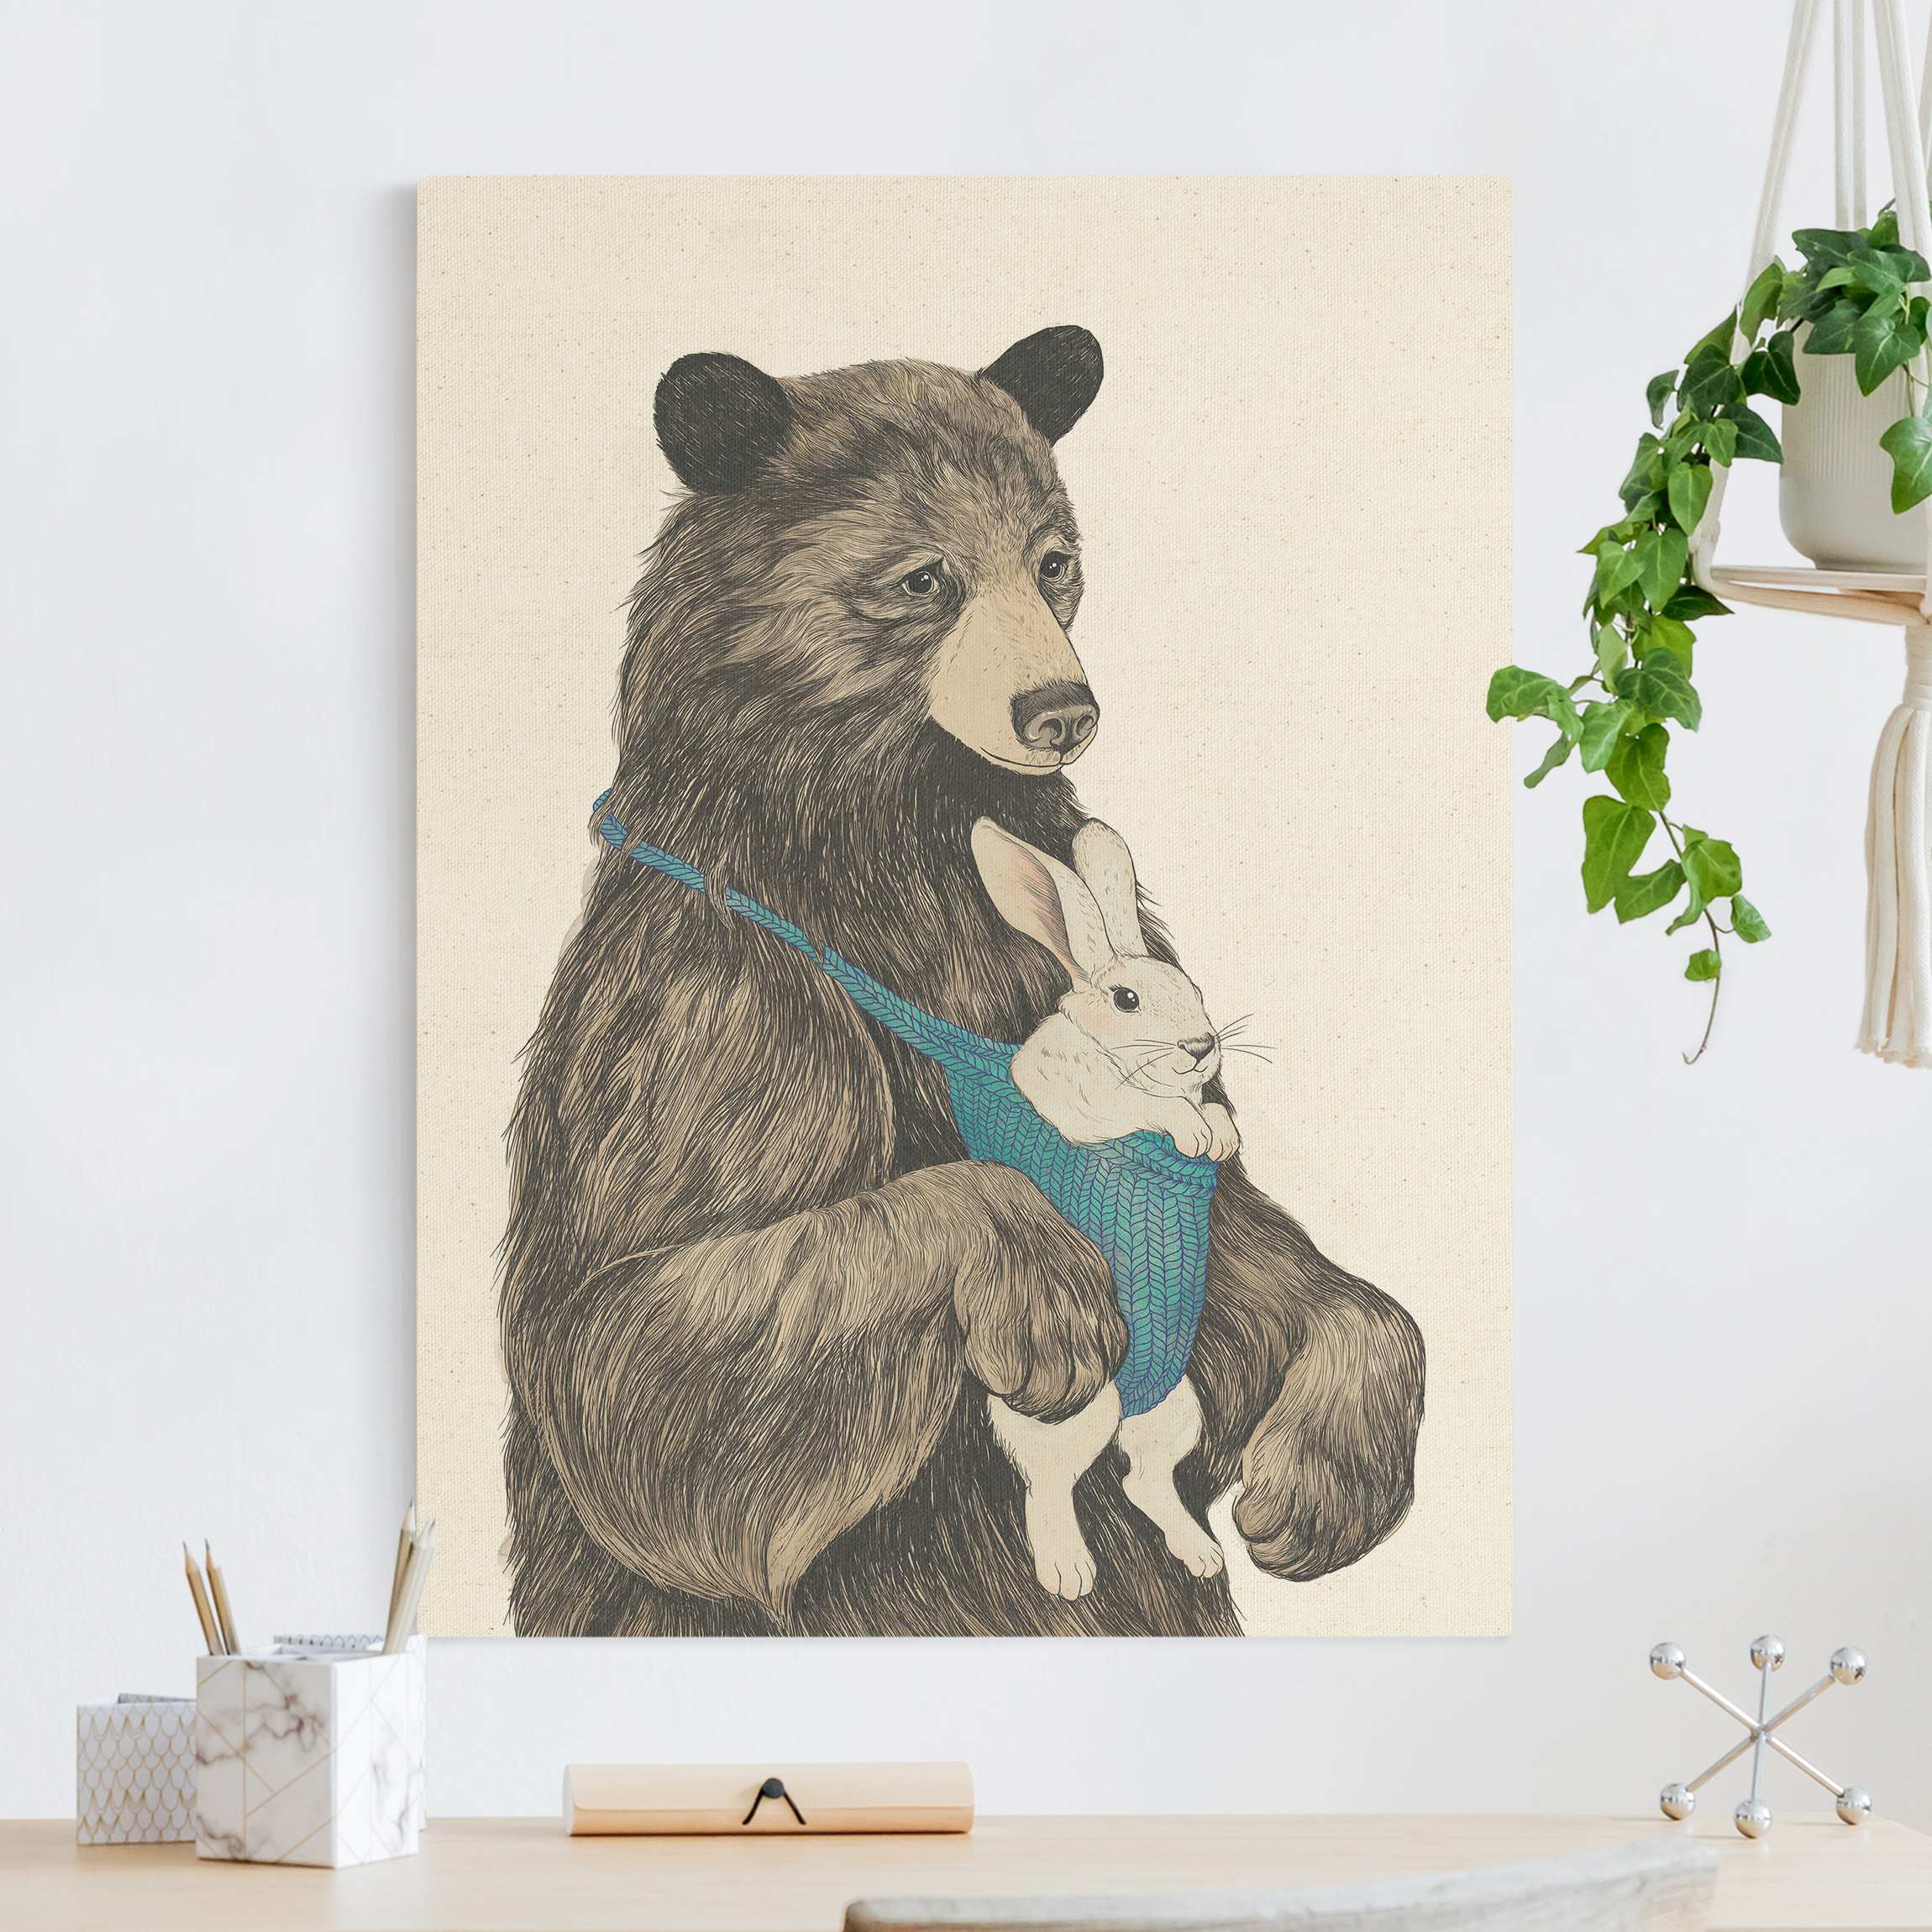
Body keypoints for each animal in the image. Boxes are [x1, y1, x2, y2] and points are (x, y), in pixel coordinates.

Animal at [969, 816, 1241, 1599]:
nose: (1201, 1046)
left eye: (1193, 988)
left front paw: (1220, 1133)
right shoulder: (1087, 1103)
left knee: (1143, 1480)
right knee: (1050, 1487)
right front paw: (1192, 1130)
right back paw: (1068, 1573)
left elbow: (1201, 1107)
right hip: (1079, 1412)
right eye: (1127, 1000)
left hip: (1174, 1411)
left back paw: (1201, 1554)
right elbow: (1143, 1107)